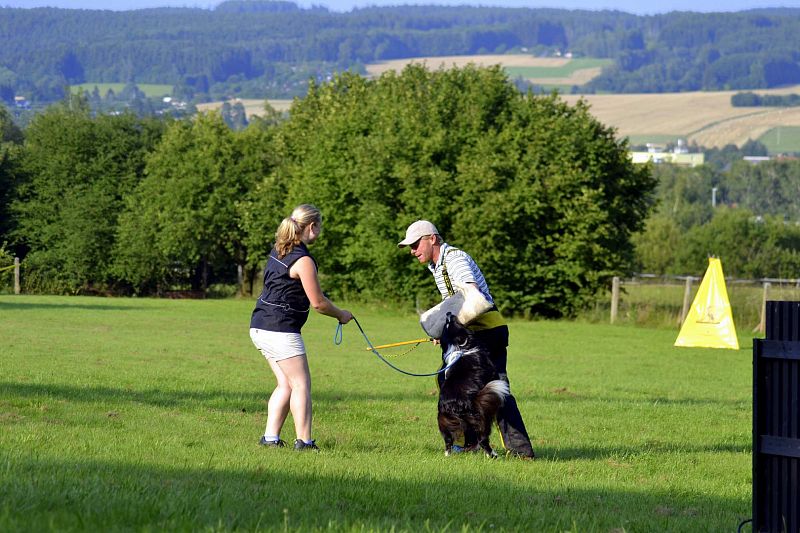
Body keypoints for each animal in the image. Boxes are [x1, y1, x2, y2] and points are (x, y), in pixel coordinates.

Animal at [438, 312, 506, 458]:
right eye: (449, 323)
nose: (448, 313)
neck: (461, 347)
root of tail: (455, 404)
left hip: (444, 420)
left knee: (448, 439)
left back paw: (448, 455)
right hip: (481, 417)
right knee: (483, 439)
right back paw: (493, 455)